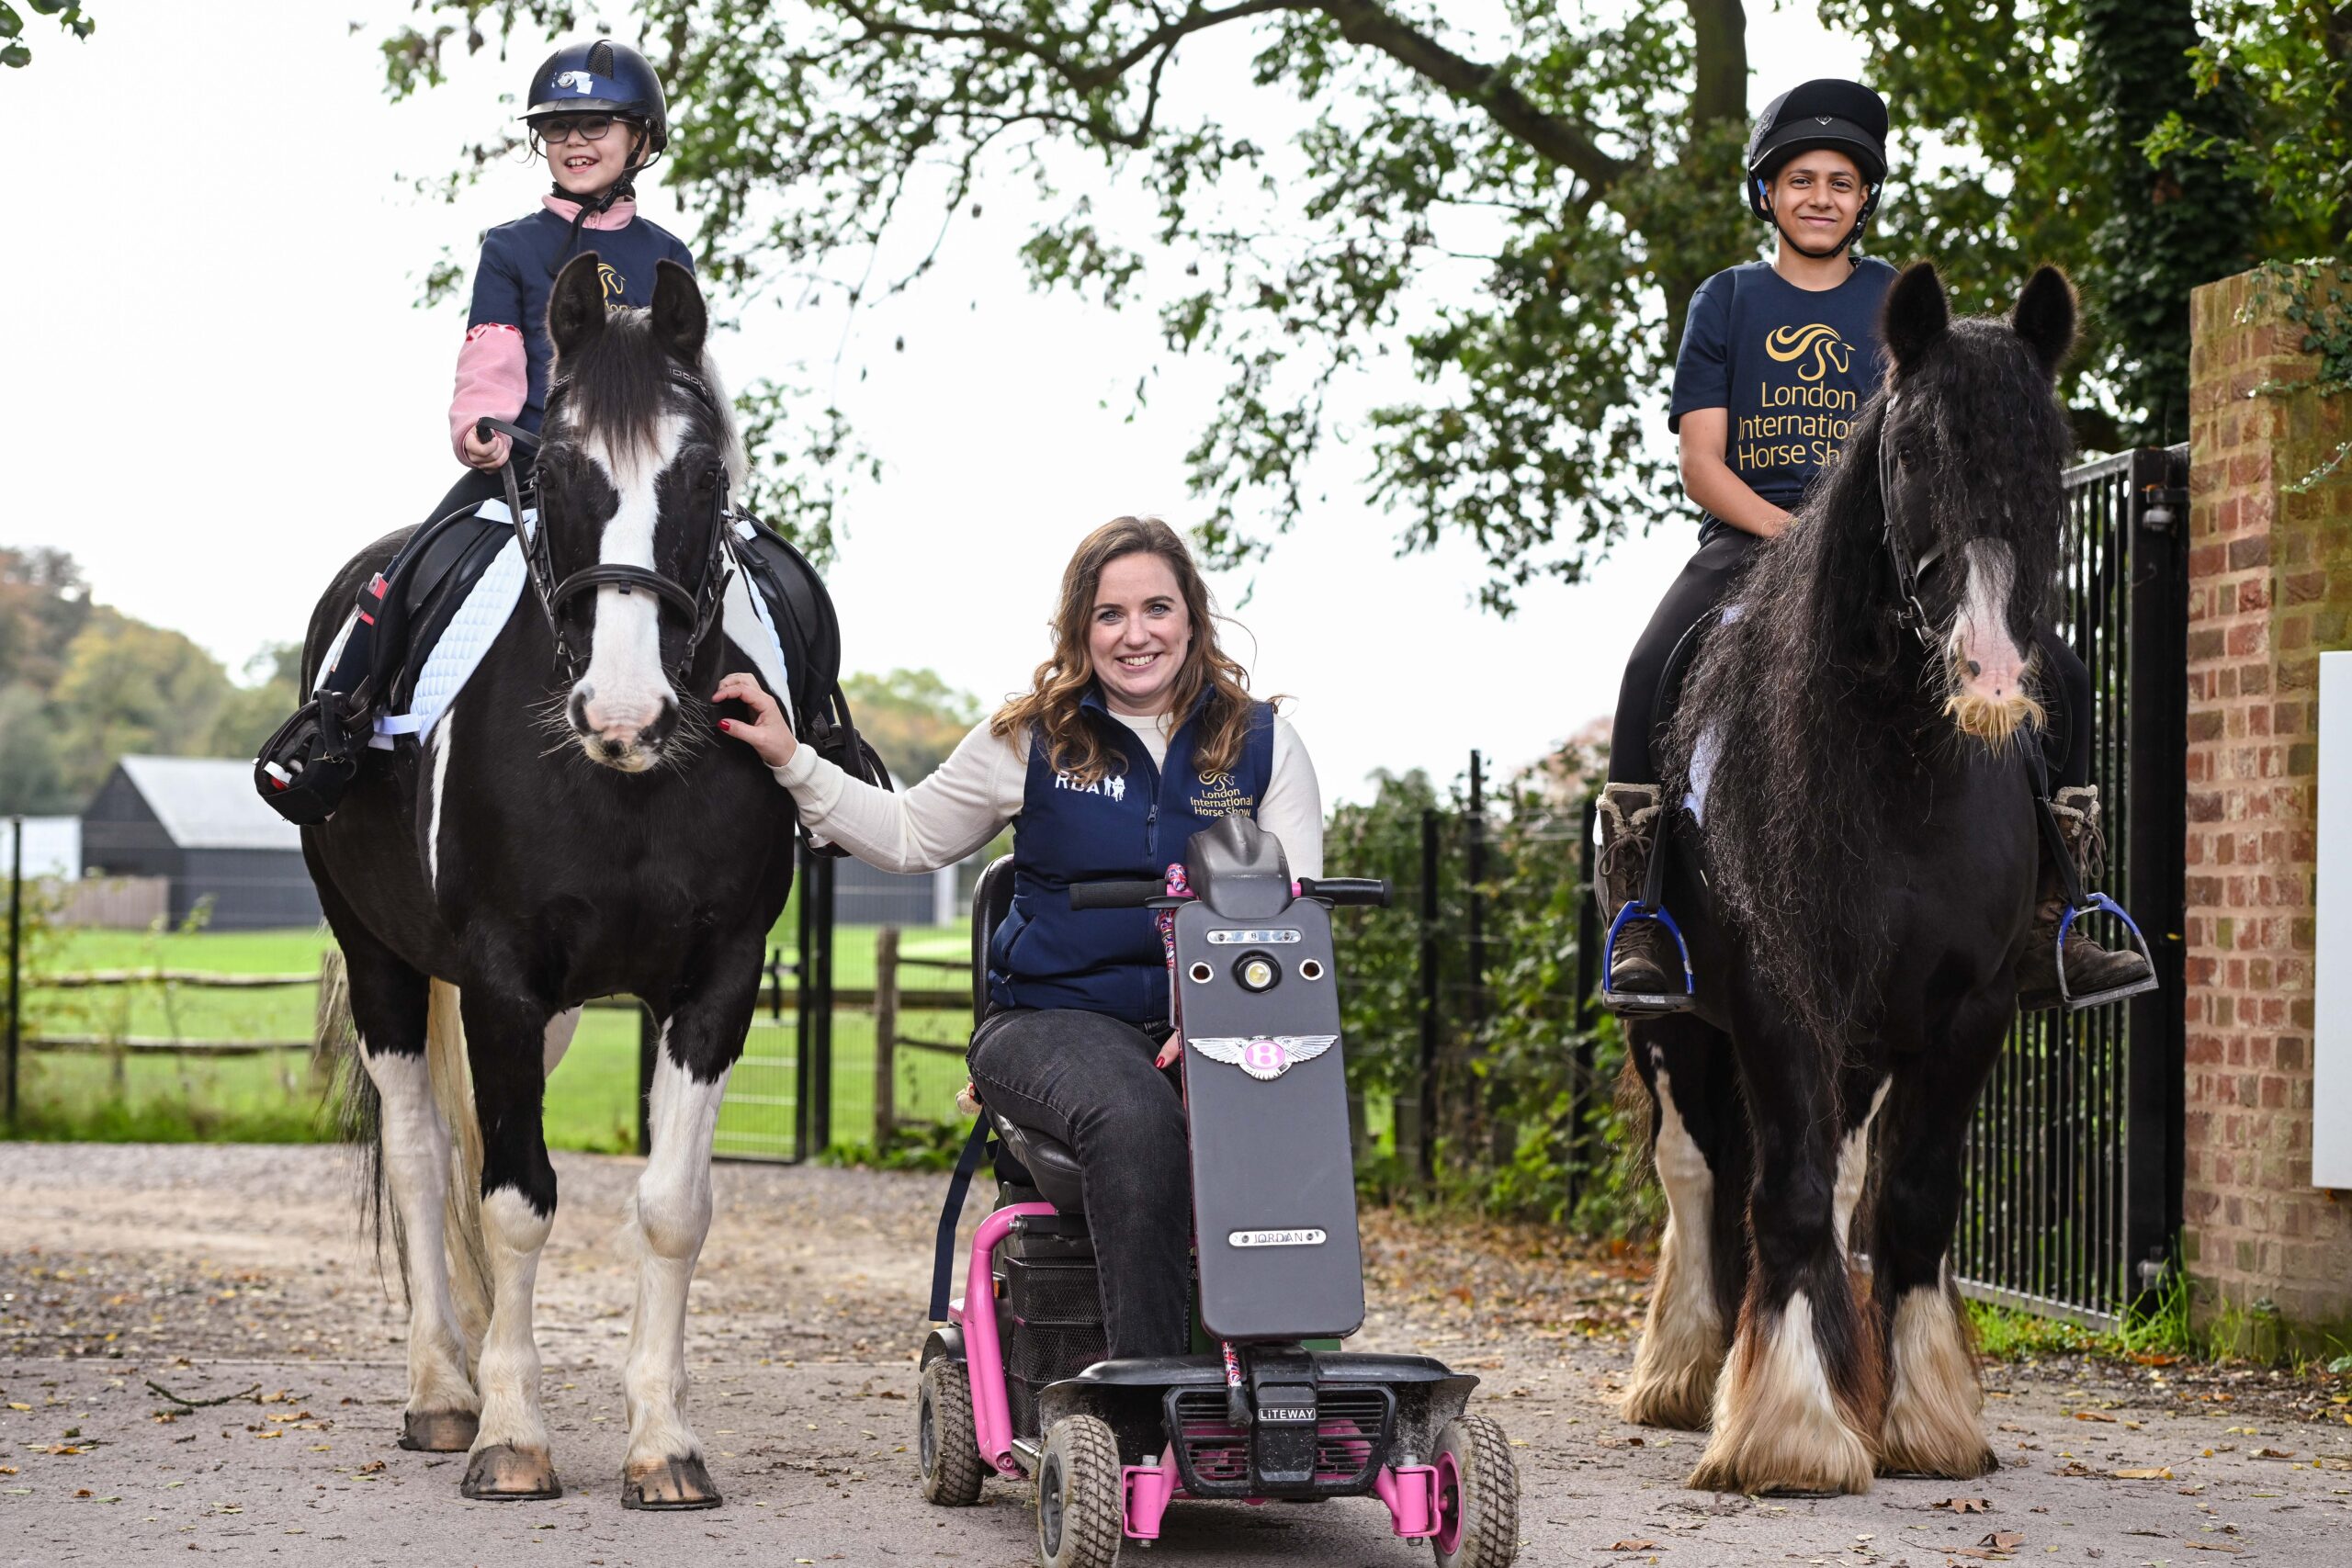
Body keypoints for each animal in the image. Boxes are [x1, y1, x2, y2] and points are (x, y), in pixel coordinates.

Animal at [299, 254, 780, 1504]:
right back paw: (443, 1390)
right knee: (426, 1162)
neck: (621, 786)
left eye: (701, 472)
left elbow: (672, 1209)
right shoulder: (501, 980)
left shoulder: (714, 982)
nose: (623, 712)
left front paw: (663, 1438)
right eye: (556, 469)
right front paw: (512, 1434)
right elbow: (514, 1203)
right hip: (386, 967)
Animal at [1618, 263, 2079, 1495]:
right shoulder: (1779, 994)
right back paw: (1683, 1372)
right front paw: (1789, 1429)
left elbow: (1908, 1199)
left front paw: (1923, 1419)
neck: (1902, 777)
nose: (1990, 674)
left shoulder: (1970, 1008)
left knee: (1831, 1179)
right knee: (1693, 1169)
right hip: (1669, 1023)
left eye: (2052, 451)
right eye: (1912, 449)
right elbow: (1772, 1193)